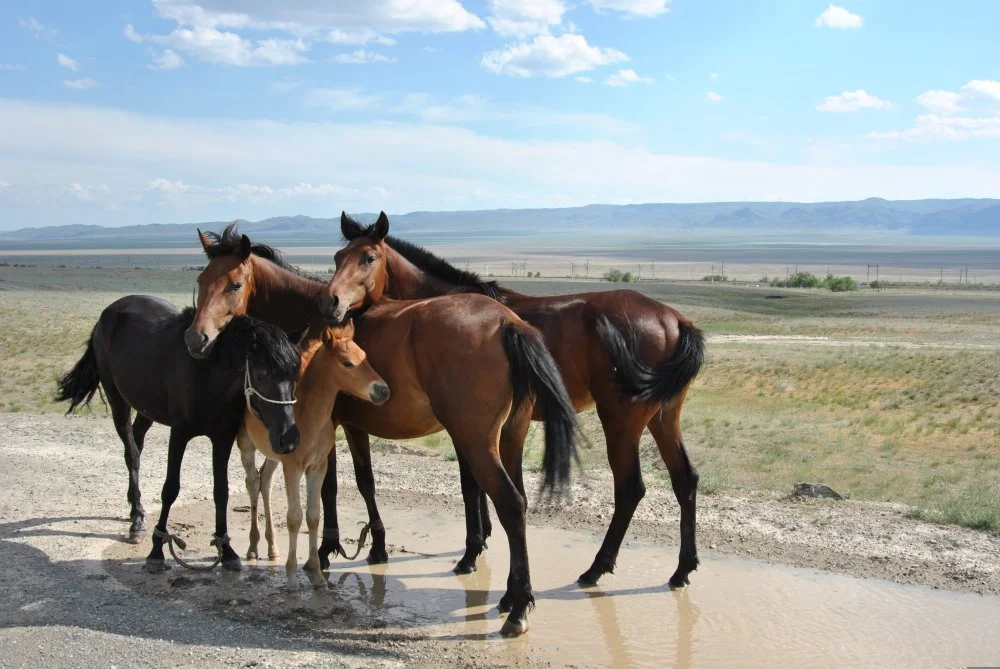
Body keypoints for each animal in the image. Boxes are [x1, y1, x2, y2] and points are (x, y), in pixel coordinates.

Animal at [57, 294, 300, 572]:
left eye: (295, 374)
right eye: (261, 375)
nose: (288, 439)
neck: (207, 374)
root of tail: (108, 313)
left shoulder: (223, 437)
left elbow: (221, 491)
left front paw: (226, 549)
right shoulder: (179, 434)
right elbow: (170, 488)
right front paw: (156, 549)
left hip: (147, 409)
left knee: (137, 443)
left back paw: (135, 509)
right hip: (117, 400)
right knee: (132, 454)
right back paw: (137, 519)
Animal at [236, 320, 388, 580]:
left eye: (364, 356)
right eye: (347, 363)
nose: (383, 390)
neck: (309, 415)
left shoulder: (317, 465)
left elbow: (314, 516)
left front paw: (316, 572)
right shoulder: (293, 467)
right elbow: (295, 517)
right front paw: (292, 576)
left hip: (274, 453)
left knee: (265, 480)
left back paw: (272, 547)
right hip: (246, 445)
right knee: (253, 482)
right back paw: (254, 548)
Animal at [340, 211, 708, 588]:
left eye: (368, 258)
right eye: (339, 257)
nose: (335, 303)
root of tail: (674, 320)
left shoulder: (467, 430)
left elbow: (470, 486)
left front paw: (473, 550)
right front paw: (485, 537)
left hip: (620, 421)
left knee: (630, 488)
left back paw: (596, 568)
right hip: (663, 417)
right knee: (685, 479)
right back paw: (682, 569)